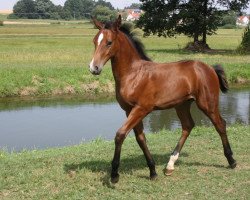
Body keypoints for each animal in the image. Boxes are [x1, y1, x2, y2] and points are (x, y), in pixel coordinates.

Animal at [88, 15, 236, 184]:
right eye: (94, 41)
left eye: (109, 42)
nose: (94, 68)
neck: (133, 74)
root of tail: (209, 68)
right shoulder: (129, 110)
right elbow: (140, 138)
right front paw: (152, 171)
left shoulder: (141, 109)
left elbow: (120, 134)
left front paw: (114, 175)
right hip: (182, 105)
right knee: (188, 126)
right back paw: (170, 165)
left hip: (207, 103)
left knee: (220, 124)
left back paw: (231, 160)